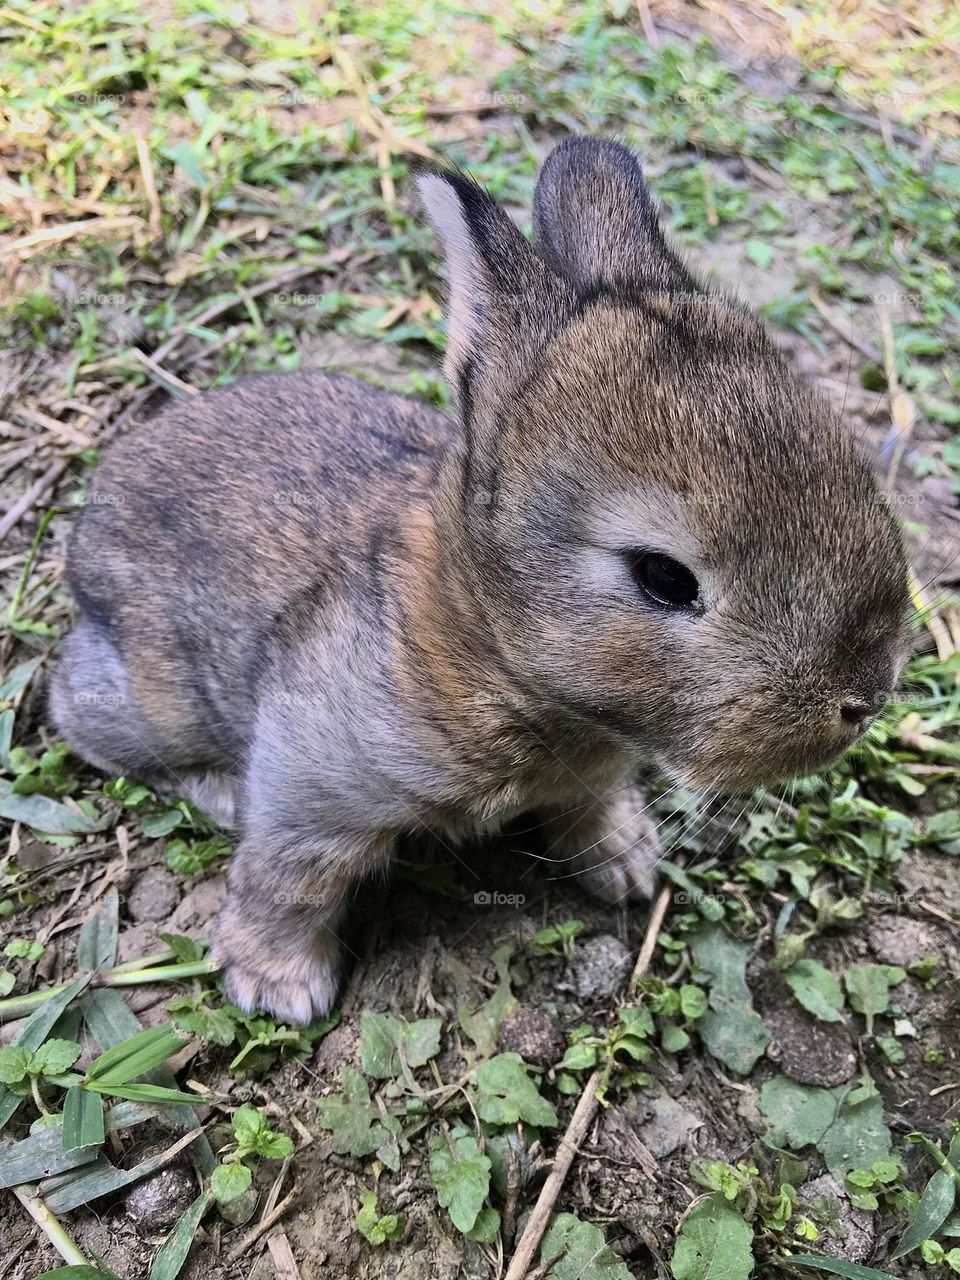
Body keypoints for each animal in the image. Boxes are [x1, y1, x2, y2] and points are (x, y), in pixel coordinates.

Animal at [48, 137, 911, 1018]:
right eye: (664, 578)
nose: (864, 700)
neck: (493, 647)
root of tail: (93, 517)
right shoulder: (311, 780)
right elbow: (291, 877)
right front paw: (278, 986)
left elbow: (592, 802)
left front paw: (626, 862)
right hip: (149, 699)